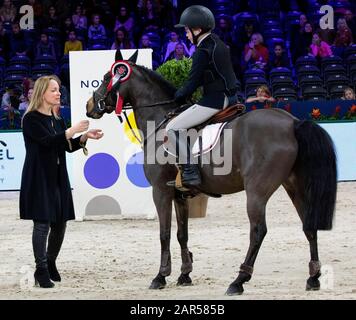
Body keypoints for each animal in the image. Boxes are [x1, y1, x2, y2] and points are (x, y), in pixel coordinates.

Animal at [85, 50, 336, 296]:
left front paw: (160, 276)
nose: (90, 106)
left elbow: (164, 233)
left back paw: (239, 281)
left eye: (107, 78)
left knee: (258, 231)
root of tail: (293, 122)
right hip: (294, 185)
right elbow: (182, 234)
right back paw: (313, 277)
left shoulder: (160, 191)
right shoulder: (180, 195)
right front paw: (185, 275)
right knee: (309, 225)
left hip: (257, 190)